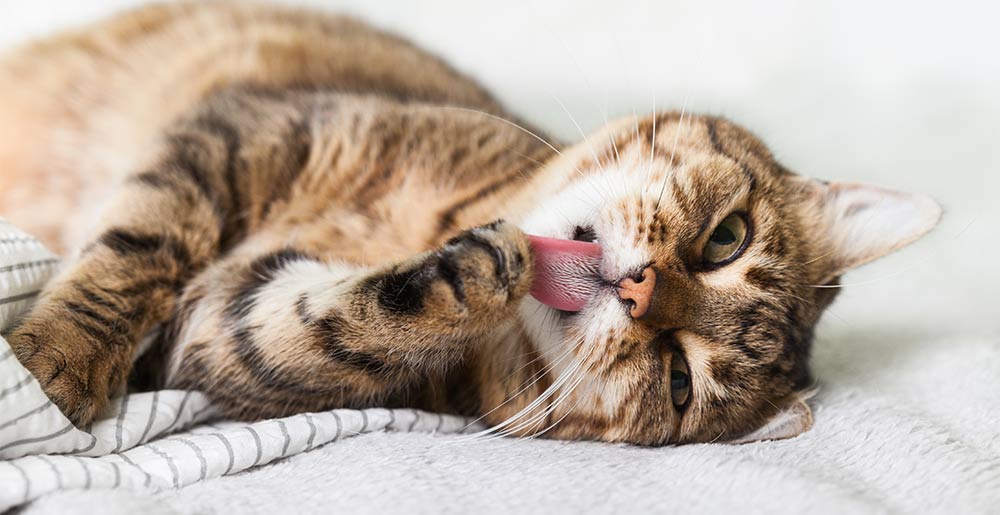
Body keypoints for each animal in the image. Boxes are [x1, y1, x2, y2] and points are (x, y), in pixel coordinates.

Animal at [0, 2, 936, 446]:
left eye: (679, 380)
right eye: (726, 240)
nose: (640, 292)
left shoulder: (222, 331)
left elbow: (321, 330)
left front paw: (472, 275)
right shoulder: (245, 130)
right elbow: (140, 247)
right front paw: (57, 359)